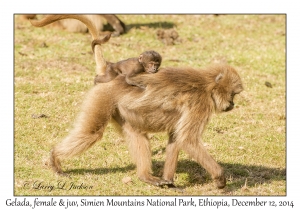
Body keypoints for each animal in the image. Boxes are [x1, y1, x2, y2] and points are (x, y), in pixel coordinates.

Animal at [30, 15, 243, 189]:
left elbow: (176, 138)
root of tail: (110, 75)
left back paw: (144, 176)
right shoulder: (200, 103)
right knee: (91, 134)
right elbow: (188, 140)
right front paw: (219, 178)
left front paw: (168, 180)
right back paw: (54, 157)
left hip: (121, 110)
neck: (206, 85)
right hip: (103, 97)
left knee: (137, 135)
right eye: (233, 95)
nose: (232, 105)